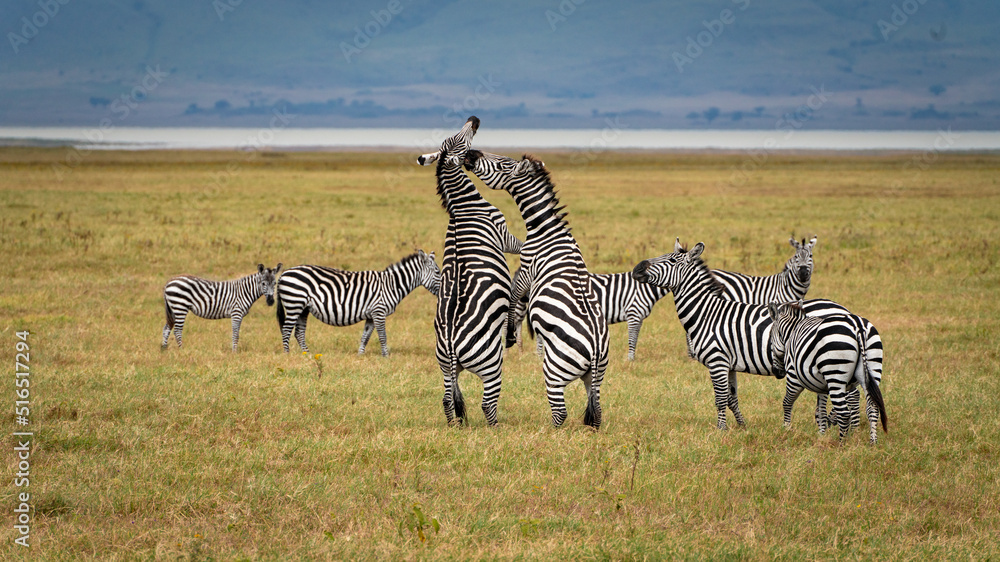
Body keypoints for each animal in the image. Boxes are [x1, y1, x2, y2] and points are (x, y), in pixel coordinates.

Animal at [275, 250, 440, 356]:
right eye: (438, 272)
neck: (391, 285)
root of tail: (284, 273)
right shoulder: (379, 311)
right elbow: (382, 336)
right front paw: (386, 356)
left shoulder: (371, 315)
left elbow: (365, 336)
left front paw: (360, 356)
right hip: (294, 304)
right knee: (286, 330)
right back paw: (287, 354)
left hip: (303, 308)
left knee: (299, 332)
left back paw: (308, 354)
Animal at [417, 116, 523, 427]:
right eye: (460, 140)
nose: (474, 119)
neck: (461, 207)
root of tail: (452, 346)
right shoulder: (504, 234)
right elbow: (522, 245)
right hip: (491, 364)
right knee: (488, 403)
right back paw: (497, 429)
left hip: (444, 367)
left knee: (447, 400)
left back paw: (456, 426)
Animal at [464, 148, 609, 430]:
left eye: (503, 164)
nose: (472, 154)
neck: (545, 228)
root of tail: (597, 348)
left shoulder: (527, 269)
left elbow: (513, 296)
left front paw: (510, 333)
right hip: (594, 377)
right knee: (596, 411)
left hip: (555, 369)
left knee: (560, 411)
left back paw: (548, 432)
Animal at [768, 300, 888, 444]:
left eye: (770, 337)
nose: (777, 372)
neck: (792, 333)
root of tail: (857, 325)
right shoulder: (821, 384)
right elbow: (821, 411)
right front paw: (821, 434)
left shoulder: (793, 377)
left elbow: (787, 402)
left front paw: (786, 428)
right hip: (873, 367)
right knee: (873, 407)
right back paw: (872, 442)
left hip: (835, 375)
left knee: (844, 414)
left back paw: (841, 445)